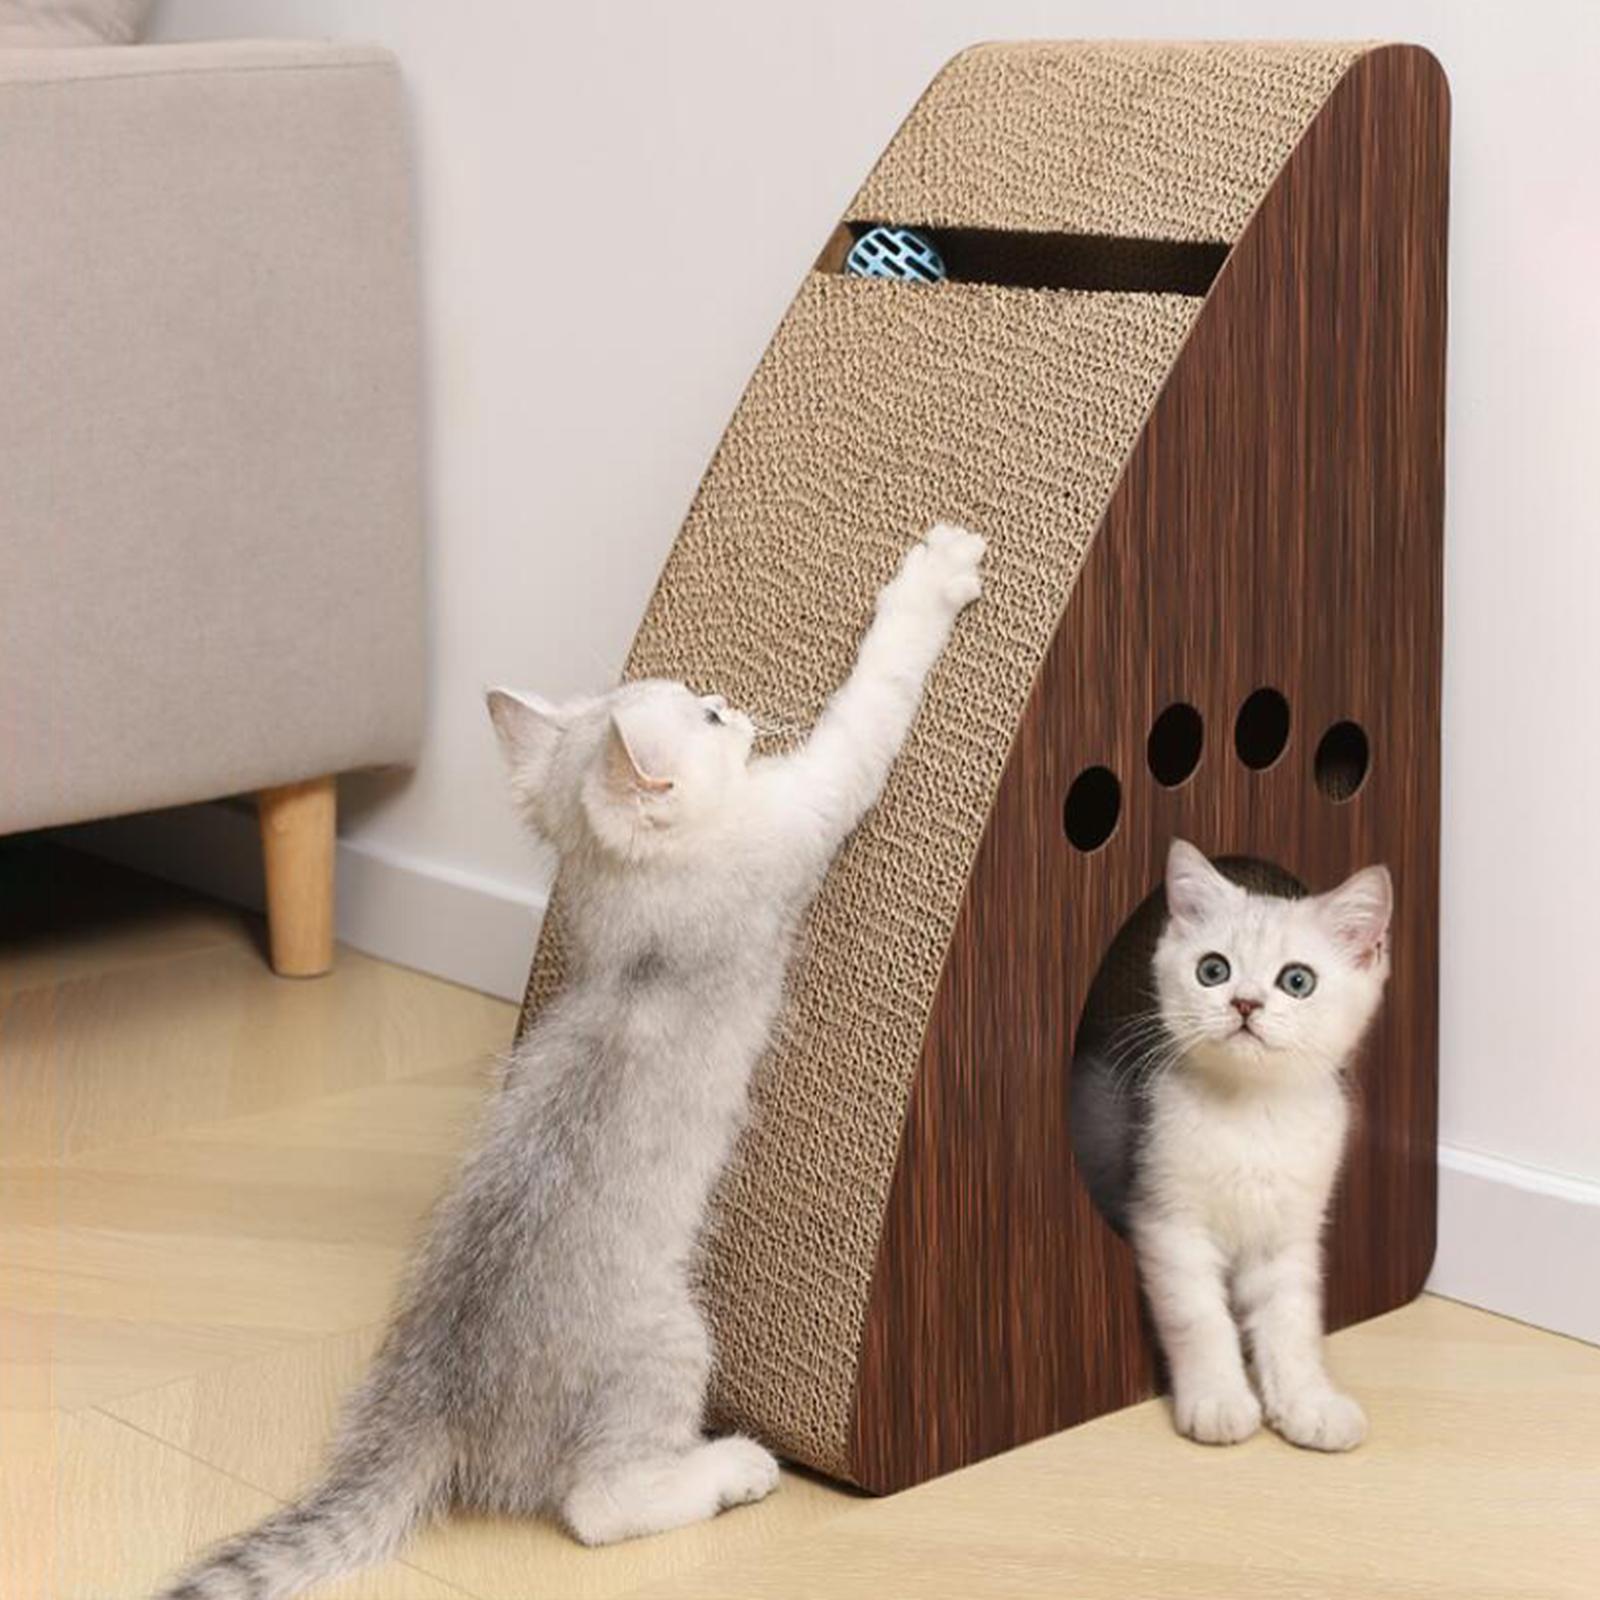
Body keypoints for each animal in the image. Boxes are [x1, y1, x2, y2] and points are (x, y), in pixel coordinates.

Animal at [158, 524, 984, 1600]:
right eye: (707, 716)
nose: (735, 701)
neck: (626, 907)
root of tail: (431, 1411)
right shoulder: (805, 806)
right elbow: (870, 703)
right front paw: (935, 574)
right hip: (670, 1338)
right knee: (599, 1509)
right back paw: (732, 1468)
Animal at [1075, 839, 1392, 1453]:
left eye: (1297, 981)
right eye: (1212, 970)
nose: (1245, 1003)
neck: (1252, 1117)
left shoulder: (1289, 1234)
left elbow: (1291, 1319)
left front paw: (1308, 1402)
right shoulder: (1167, 1220)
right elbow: (1198, 1316)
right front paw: (1219, 1400)